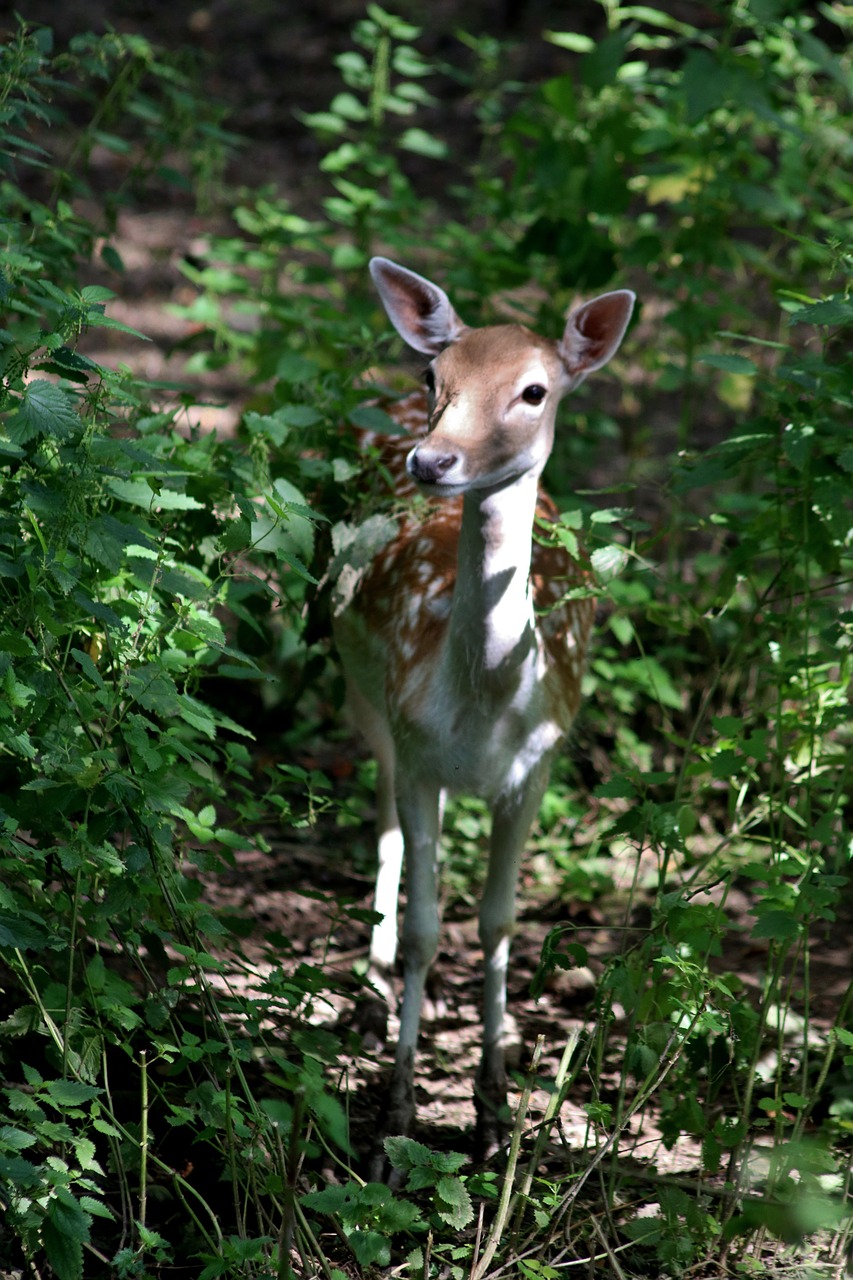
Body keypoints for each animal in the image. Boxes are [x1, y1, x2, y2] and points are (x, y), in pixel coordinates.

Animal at [330, 254, 630, 1157]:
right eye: (437, 375)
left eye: (534, 389)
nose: (432, 461)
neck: (487, 702)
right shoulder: (416, 744)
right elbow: (429, 927)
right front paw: (395, 1118)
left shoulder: (537, 764)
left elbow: (497, 921)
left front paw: (494, 1108)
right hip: (362, 689)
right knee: (382, 813)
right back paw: (370, 980)